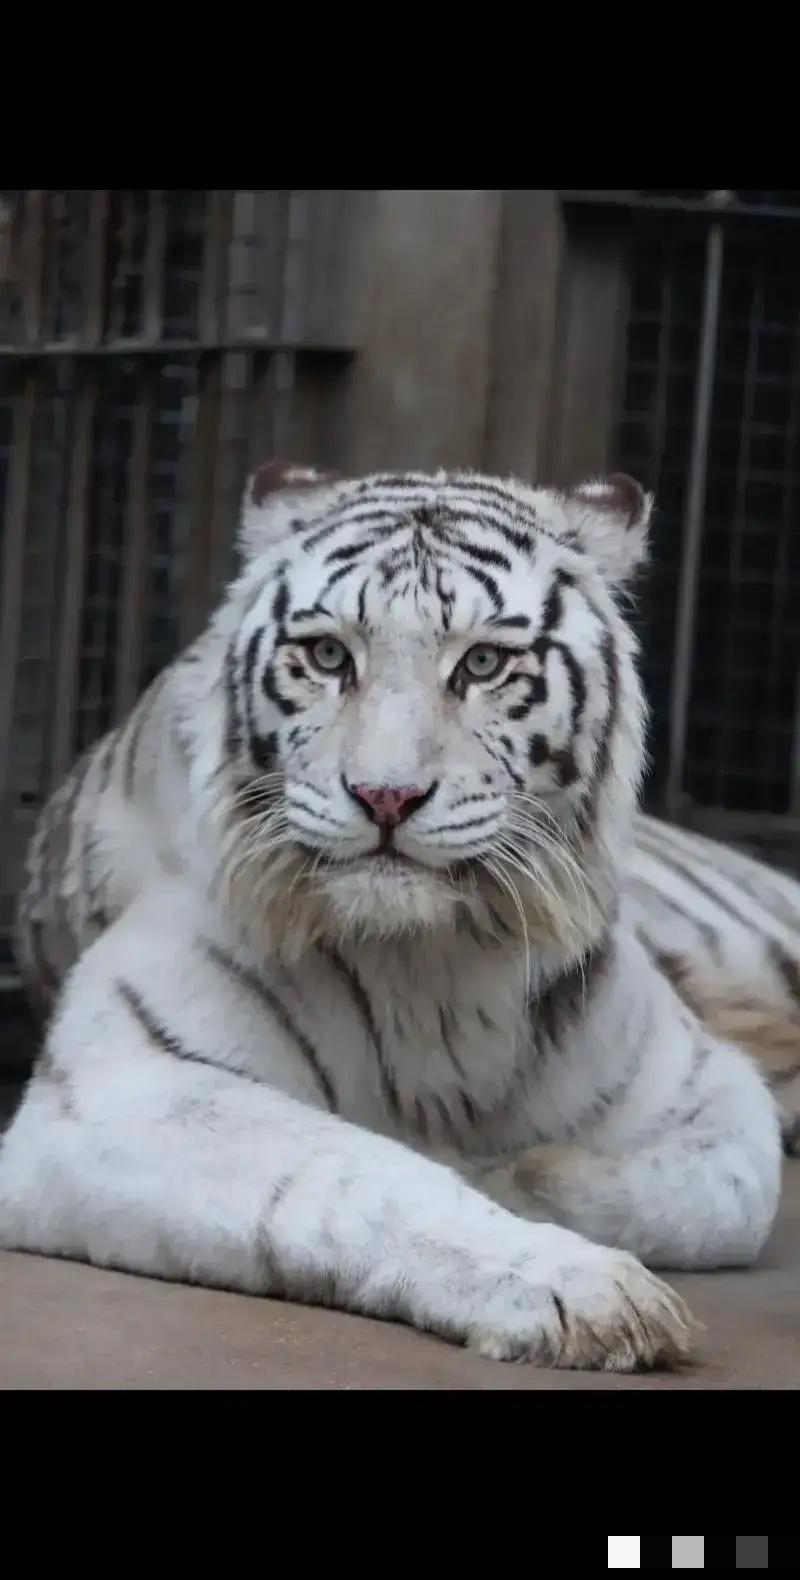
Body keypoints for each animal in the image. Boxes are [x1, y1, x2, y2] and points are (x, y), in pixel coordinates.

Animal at [0, 461, 785, 1372]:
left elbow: (719, 1196)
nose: (385, 796)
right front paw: (576, 1286)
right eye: (328, 654)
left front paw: (506, 1176)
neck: (432, 966)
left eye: (483, 662)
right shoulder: (127, 1085)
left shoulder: (705, 1085)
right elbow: (354, 1172)